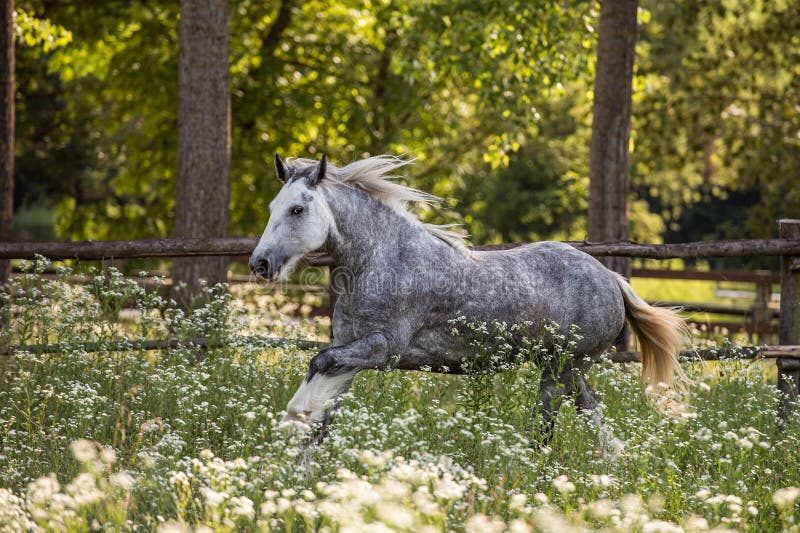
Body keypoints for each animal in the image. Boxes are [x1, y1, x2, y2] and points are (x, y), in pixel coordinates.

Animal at [250, 154, 688, 440]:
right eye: (272, 206)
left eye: (296, 209)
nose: (260, 264)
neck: (383, 259)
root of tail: (611, 278)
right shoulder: (350, 352)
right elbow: (324, 406)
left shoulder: (382, 349)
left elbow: (316, 366)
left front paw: (294, 419)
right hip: (565, 368)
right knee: (595, 420)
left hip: (562, 369)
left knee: (546, 429)